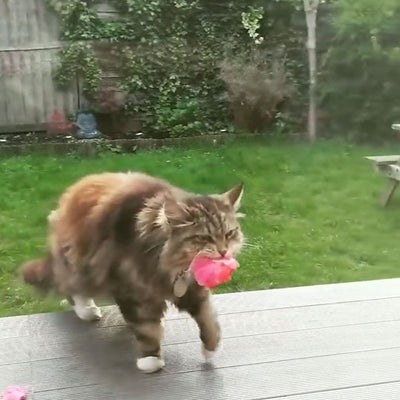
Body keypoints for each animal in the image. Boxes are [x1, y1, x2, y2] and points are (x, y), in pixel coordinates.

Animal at [21, 173, 244, 376]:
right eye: (204, 238)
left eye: (229, 234)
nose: (224, 251)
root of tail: (71, 192)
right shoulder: (130, 288)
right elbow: (146, 328)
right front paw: (150, 359)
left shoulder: (193, 290)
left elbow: (208, 319)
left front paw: (210, 349)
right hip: (81, 267)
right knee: (70, 287)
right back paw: (87, 310)